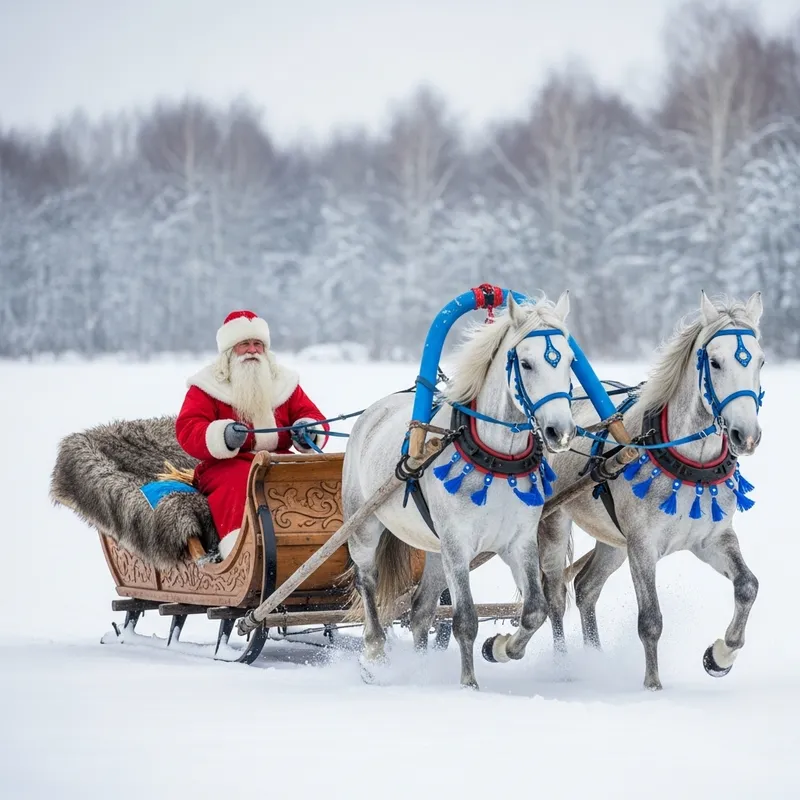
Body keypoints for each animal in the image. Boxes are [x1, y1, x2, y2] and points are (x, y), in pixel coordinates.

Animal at [342, 292, 577, 689]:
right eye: (526, 363)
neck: (497, 457)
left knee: (421, 610)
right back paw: (375, 654)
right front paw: (469, 683)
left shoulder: (518, 542)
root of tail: (376, 410)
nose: (560, 431)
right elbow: (464, 617)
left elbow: (535, 609)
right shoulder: (457, 542)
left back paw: (421, 668)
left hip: (434, 549)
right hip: (364, 527)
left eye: (571, 361)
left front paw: (500, 647)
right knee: (368, 582)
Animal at [531, 290, 765, 690]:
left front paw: (720, 656)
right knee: (555, 594)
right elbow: (650, 620)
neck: (688, 462)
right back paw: (564, 667)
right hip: (555, 524)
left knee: (587, 587)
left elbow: (747, 586)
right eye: (715, 362)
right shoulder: (643, 545)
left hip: (612, 540)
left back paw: (595, 659)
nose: (745, 436)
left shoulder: (713, 538)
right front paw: (653, 686)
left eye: (760, 361)